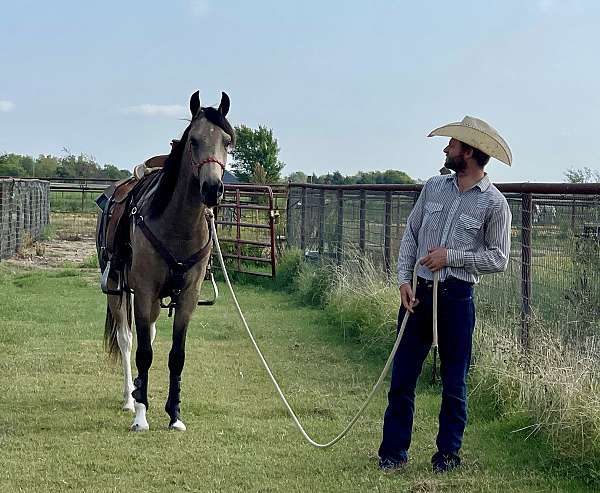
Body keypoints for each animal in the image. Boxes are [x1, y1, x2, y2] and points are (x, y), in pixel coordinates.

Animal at [96, 90, 234, 428]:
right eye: (194, 140)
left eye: (227, 141)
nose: (212, 189)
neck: (177, 226)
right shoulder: (144, 291)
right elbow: (143, 353)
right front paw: (141, 415)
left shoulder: (187, 297)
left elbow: (176, 355)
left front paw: (175, 414)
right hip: (118, 291)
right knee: (126, 339)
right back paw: (129, 398)